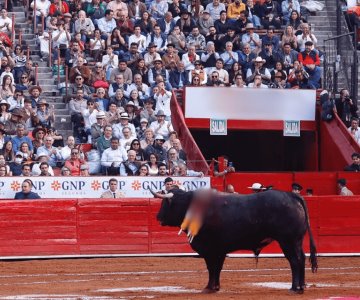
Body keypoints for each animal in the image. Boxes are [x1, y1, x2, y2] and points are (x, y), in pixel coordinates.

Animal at [155, 189, 318, 294]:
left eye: (165, 203)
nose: (158, 217)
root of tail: (292, 195)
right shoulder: (219, 250)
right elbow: (217, 269)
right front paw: (215, 287)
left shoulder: (210, 250)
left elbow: (211, 268)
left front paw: (208, 288)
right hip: (297, 241)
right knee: (302, 258)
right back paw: (302, 286)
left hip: (288, 241)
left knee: (295, 261)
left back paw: (294, 288)